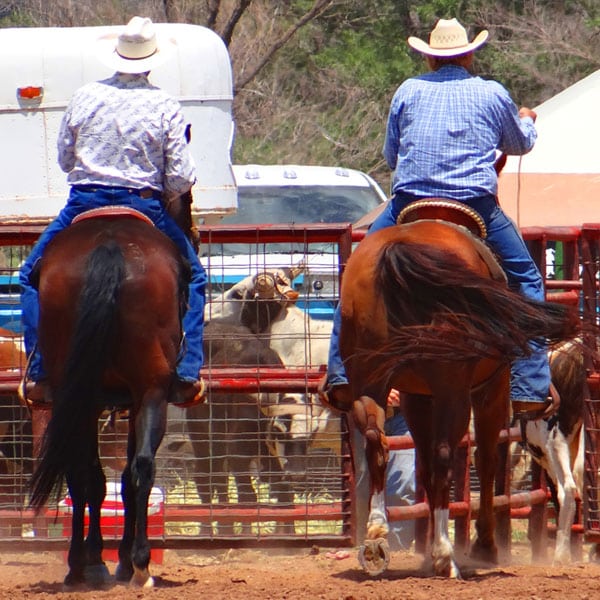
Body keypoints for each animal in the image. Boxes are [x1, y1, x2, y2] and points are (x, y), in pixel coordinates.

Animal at [26, 213, 188, 588]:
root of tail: (110, 244)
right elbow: (125, 478)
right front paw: (122, 562)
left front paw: (97, 561)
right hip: (149, 391)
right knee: (139, 468)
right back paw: (136, 566)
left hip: (85, 395)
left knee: (89, 473)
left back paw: (87, 565)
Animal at [336, 219, 580, 576]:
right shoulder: (491, 390)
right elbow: (487, 461)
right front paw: (485, 545)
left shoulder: (415, 395)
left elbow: (423, 465)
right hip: (455, 390)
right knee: (445, 456)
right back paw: (445, 555)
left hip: (371, 381)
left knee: (376, 442)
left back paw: (377, 538)